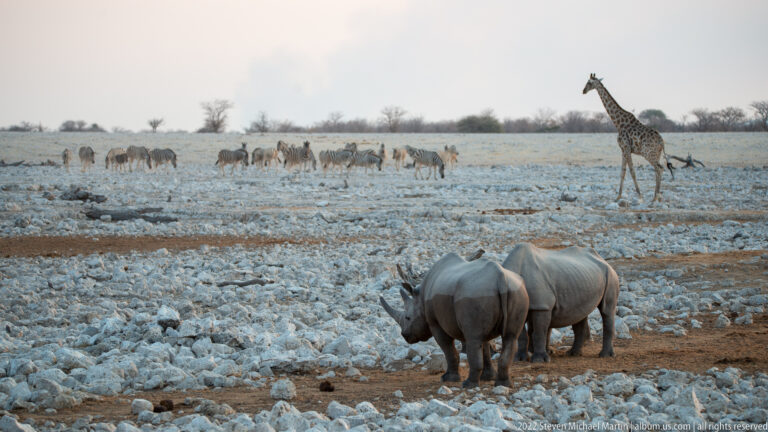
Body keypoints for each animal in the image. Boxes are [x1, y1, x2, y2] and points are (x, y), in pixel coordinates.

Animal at [583, 73, 673, 203]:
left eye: (589, 82)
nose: (583, 91)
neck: (618, 123)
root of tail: (662, 142)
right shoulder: (623, 149)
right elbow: (623, 172)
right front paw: (618, 197)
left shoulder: (626, 147)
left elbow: (632, 171)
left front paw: (640, 196)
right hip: (657, 154)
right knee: (658, 169)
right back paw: (656, 196)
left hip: (648, 153)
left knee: (659, 169)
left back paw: (655, 197)